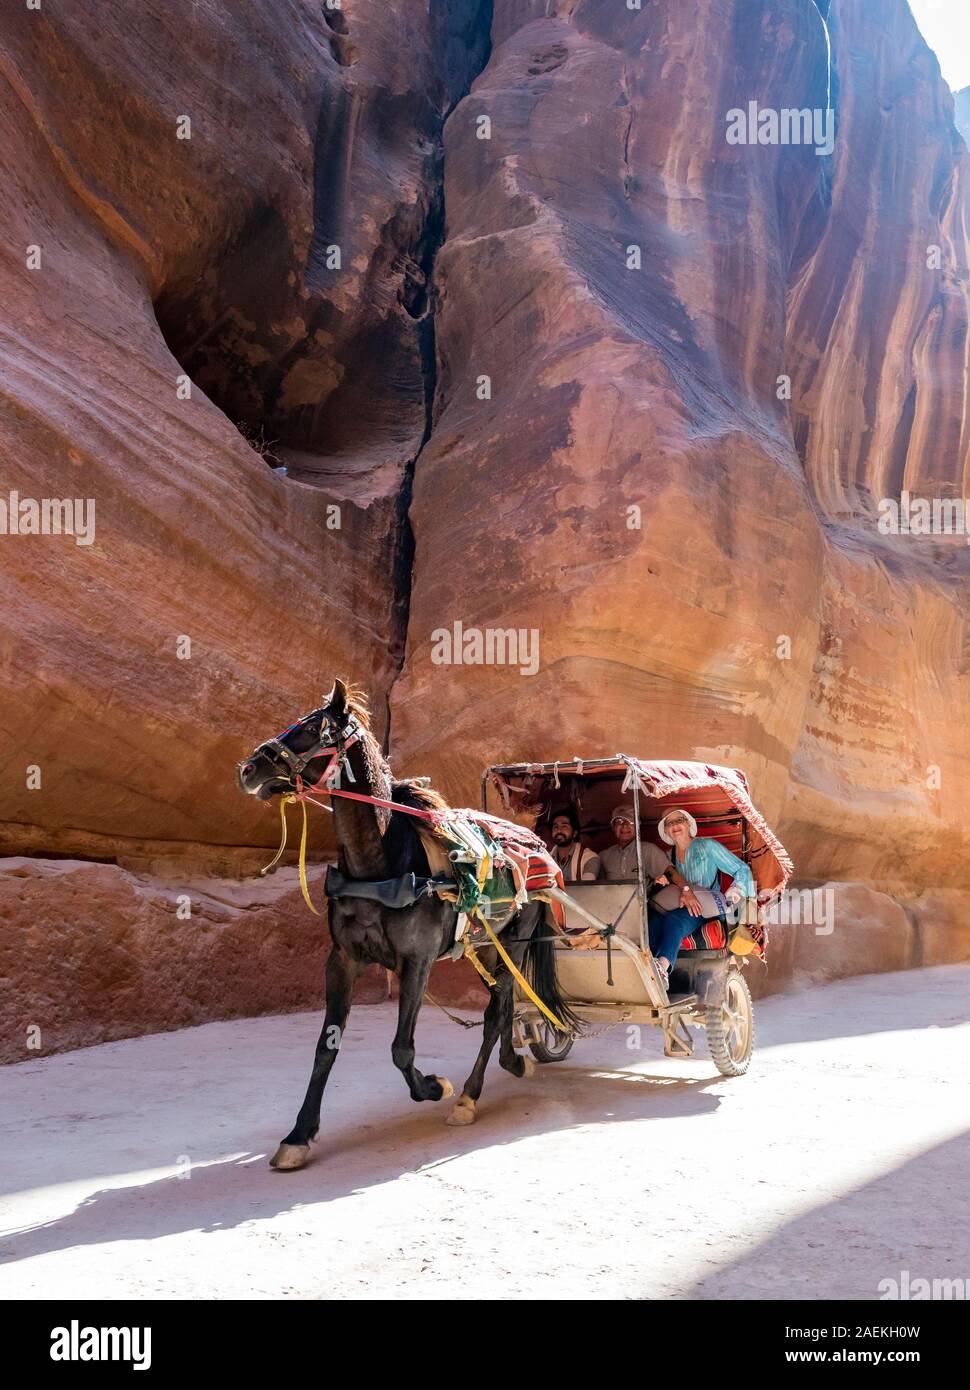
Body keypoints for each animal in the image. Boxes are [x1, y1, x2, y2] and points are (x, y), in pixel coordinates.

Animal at [234, 678, 569, 1167]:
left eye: (313, 728)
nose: (248, 769)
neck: (382, 864)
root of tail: (537, 843)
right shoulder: (342, 960)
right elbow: (325, 1047)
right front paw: (298, 1135)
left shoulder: (417, 961)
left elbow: (400, 1047)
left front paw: (433, 1086)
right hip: (486, 946)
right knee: (505, 1003)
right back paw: (512, 1062)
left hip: (516, 940)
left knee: (496, 1011)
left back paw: (468, 1096)